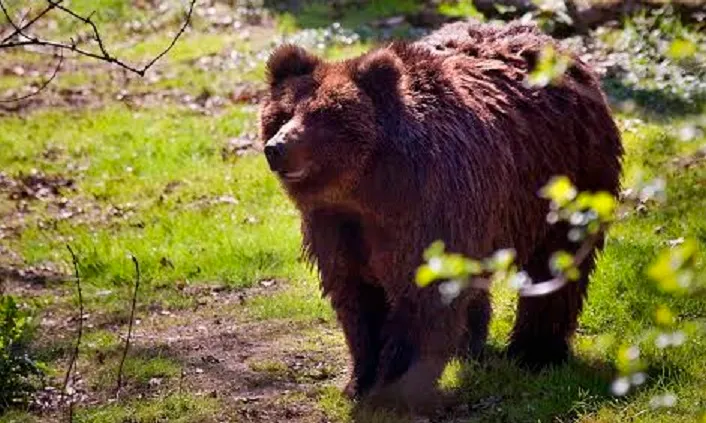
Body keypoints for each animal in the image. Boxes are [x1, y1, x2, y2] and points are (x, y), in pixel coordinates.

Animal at [258, 20, 623, 410]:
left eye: (323, 115)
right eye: (282, 113)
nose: (277, 147)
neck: (367, 188)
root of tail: (555, 44)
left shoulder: (430, 208)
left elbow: (424, 296)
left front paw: (396, 387)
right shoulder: (336, 224)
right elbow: (356, 296)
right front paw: (359, 381)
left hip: (567, 177)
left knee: (558, 261)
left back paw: (535, 353)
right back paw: (471, 344)